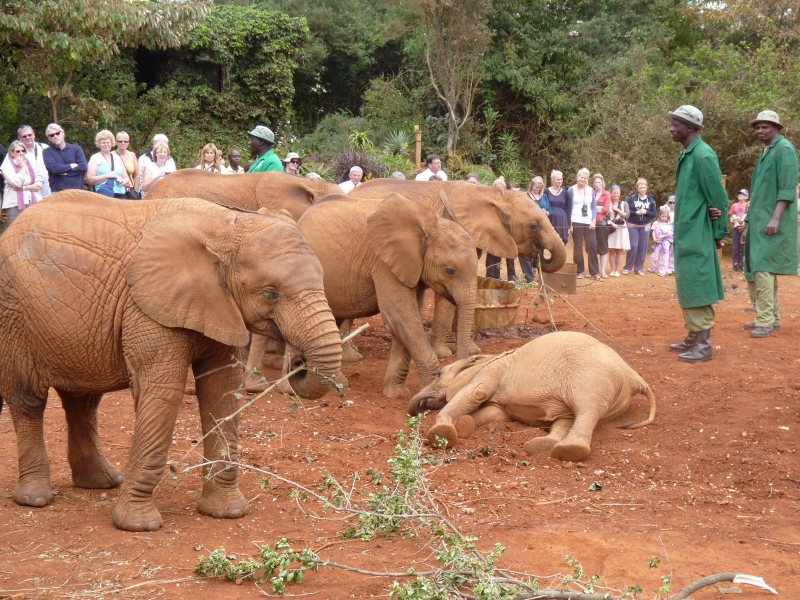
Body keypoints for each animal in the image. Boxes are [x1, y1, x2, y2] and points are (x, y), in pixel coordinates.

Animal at [0, 191, 342, 531]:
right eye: (271, 293)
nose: (298, 363)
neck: (229, 226)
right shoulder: (147, 307)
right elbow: (164, 391)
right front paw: (138, 525)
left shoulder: (221, 306)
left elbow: (221, 391)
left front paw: (227, 512)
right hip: (13, 315)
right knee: (28, 400)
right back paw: (35, 497)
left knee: (82, 401)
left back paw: (101, 482)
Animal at [248, 192, 478, 399]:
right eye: (449, 270)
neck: (429, 223)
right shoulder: (383, 263)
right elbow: (401, 318)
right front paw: (426, 395)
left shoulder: (412, 269)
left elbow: (408, 321)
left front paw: (396, 395)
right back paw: (291, 390)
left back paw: (335, 382)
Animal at [408, 331, 656, 462]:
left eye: (439, 373)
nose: (416, 408)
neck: (488, 356)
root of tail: (635, 378)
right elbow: (495, 413)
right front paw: (464, 425)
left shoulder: (491, 371)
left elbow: (477, 393)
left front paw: (443, 432)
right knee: (566, 419)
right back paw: (539, 446)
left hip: (595, 379)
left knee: (587, 410)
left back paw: (569, 451)